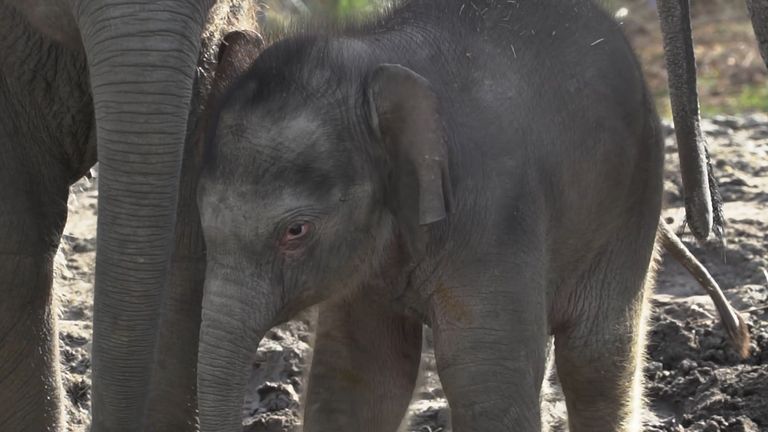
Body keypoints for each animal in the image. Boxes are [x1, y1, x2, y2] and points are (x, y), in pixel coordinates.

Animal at [196, 1, 684, 430]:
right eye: (202, 216)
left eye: (296, 231)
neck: (376, 60)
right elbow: (360, 376)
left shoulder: (495, 213)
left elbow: (485, 379)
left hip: (633, 193)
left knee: (594, 353)